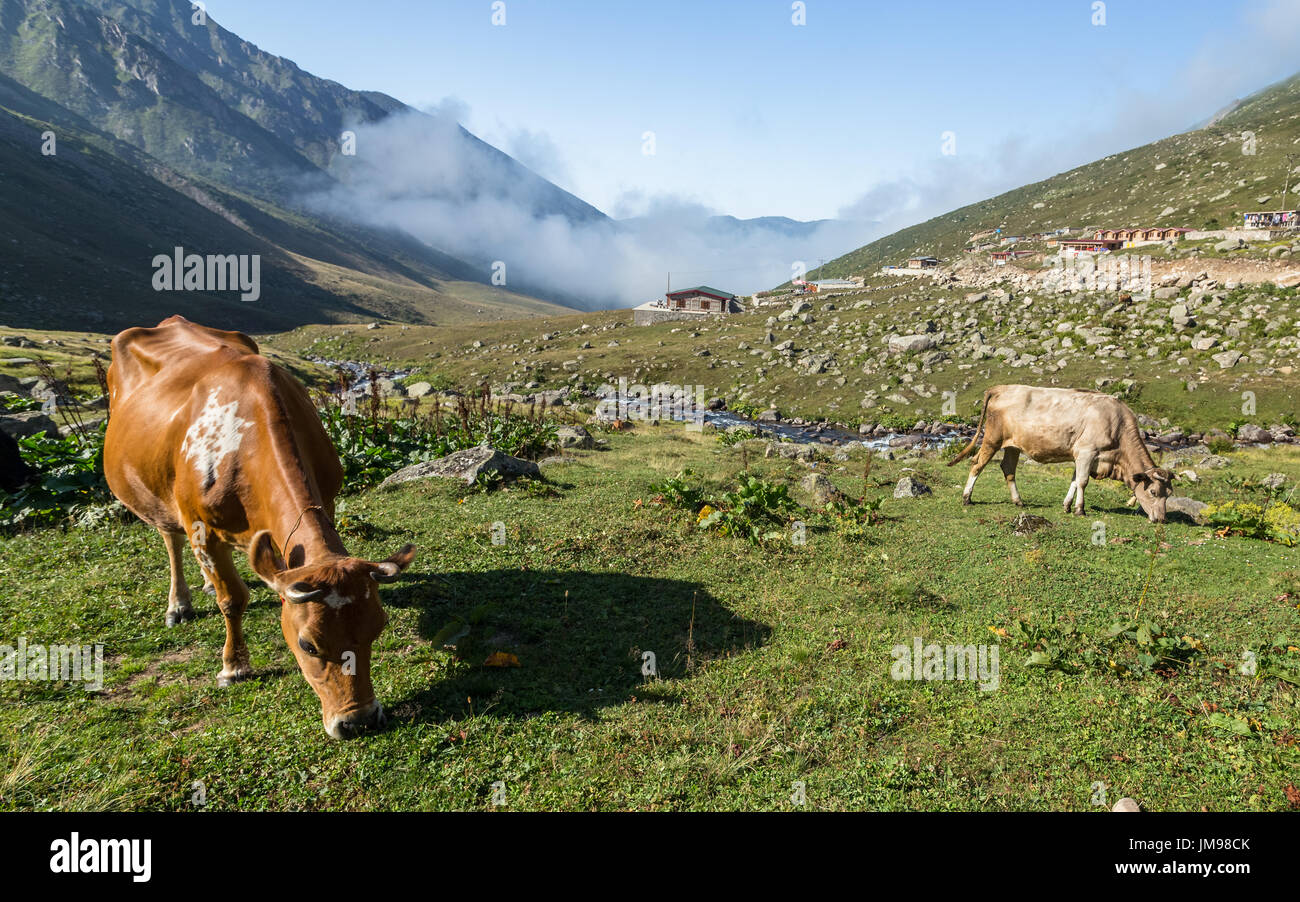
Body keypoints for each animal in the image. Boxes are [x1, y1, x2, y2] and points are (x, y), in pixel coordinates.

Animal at [104, 316, 416, 738]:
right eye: (307, 645)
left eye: (377, 629)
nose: (360, 721)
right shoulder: (201, 527)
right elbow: (232, 600)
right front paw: (234, 666)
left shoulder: (328, 500)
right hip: (157, 495)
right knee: (171, 538)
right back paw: (179, 604)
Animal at [947, 385, 1172, 523]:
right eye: (1153, 492)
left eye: (1169, 494)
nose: (1162, 519)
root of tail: (1000, 388)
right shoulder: (1086, 452)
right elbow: (1082, 482)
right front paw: (1080, 509)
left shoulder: (1081, 456)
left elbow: (1074, 481)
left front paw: (1066, 506)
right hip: (992, 439)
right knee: (977, 464)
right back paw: (967, 498)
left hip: (1013, 445)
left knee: (1008, 469)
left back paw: (1018, 501)